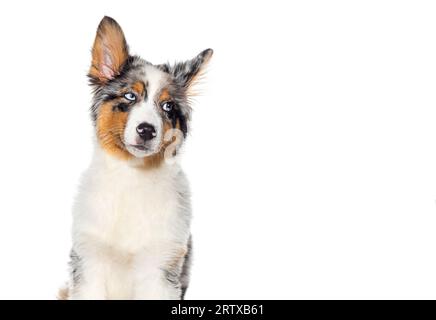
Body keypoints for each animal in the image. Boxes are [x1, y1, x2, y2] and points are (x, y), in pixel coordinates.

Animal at [59, 15, 213, 300]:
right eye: (130, 95)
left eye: (167, 106)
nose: (147, 130)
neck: (132, 176)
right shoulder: (89, 261)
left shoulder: (162, 267)